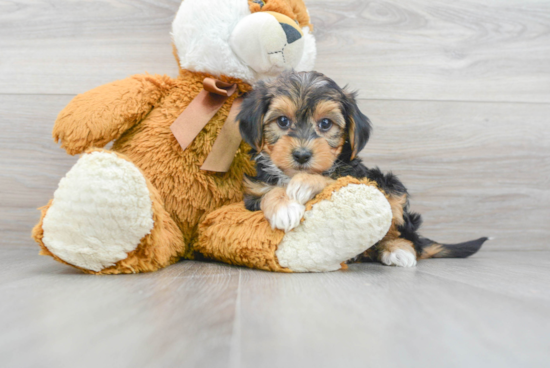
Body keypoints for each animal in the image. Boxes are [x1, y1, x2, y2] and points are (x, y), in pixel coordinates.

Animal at [237, 71, 488, 268]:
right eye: (282, 121)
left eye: (325, 124)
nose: (301, 155)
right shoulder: (253, 193)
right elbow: (268, 193)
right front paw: (284, 207)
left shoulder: (359, 177)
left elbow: (332, 179)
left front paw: (304, 183)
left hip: (391, 187)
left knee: (400, 231)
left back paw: (398, 249)